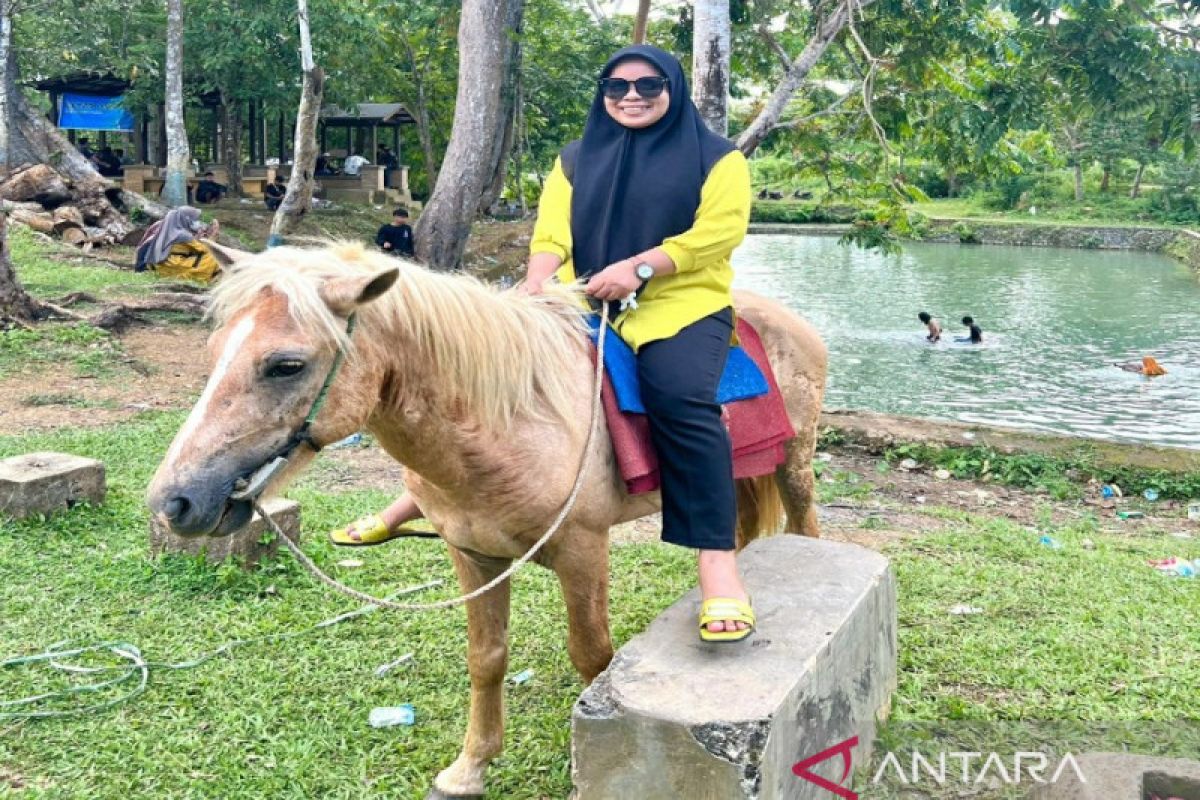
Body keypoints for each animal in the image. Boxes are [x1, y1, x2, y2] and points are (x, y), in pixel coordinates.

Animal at [147, 244, 825, 800]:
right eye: (215, 353)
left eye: (285, 365)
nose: (173, 501)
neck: (512, 421)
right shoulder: (473, 555)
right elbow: (487, 658)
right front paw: (469, 768)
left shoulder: (583, 551)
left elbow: (592, 658)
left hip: (793, 466)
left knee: (805, 531)